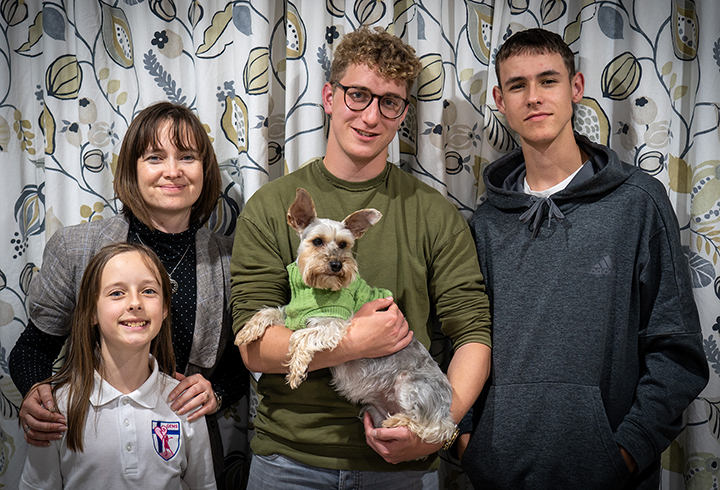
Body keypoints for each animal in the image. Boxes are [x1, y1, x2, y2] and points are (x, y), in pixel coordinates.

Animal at [239, 189, 458, 446]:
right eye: (317, 241)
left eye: (344, 244)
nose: (336, 264)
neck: (316, 289)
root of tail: (446, 408)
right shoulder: (294, 315)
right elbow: (271, 311)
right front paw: (247, 331)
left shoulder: (332, 323)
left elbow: (301, 337)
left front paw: (295, 370)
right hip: (374, 409)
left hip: (412, 385)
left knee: (435, 427)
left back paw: (399, 422)